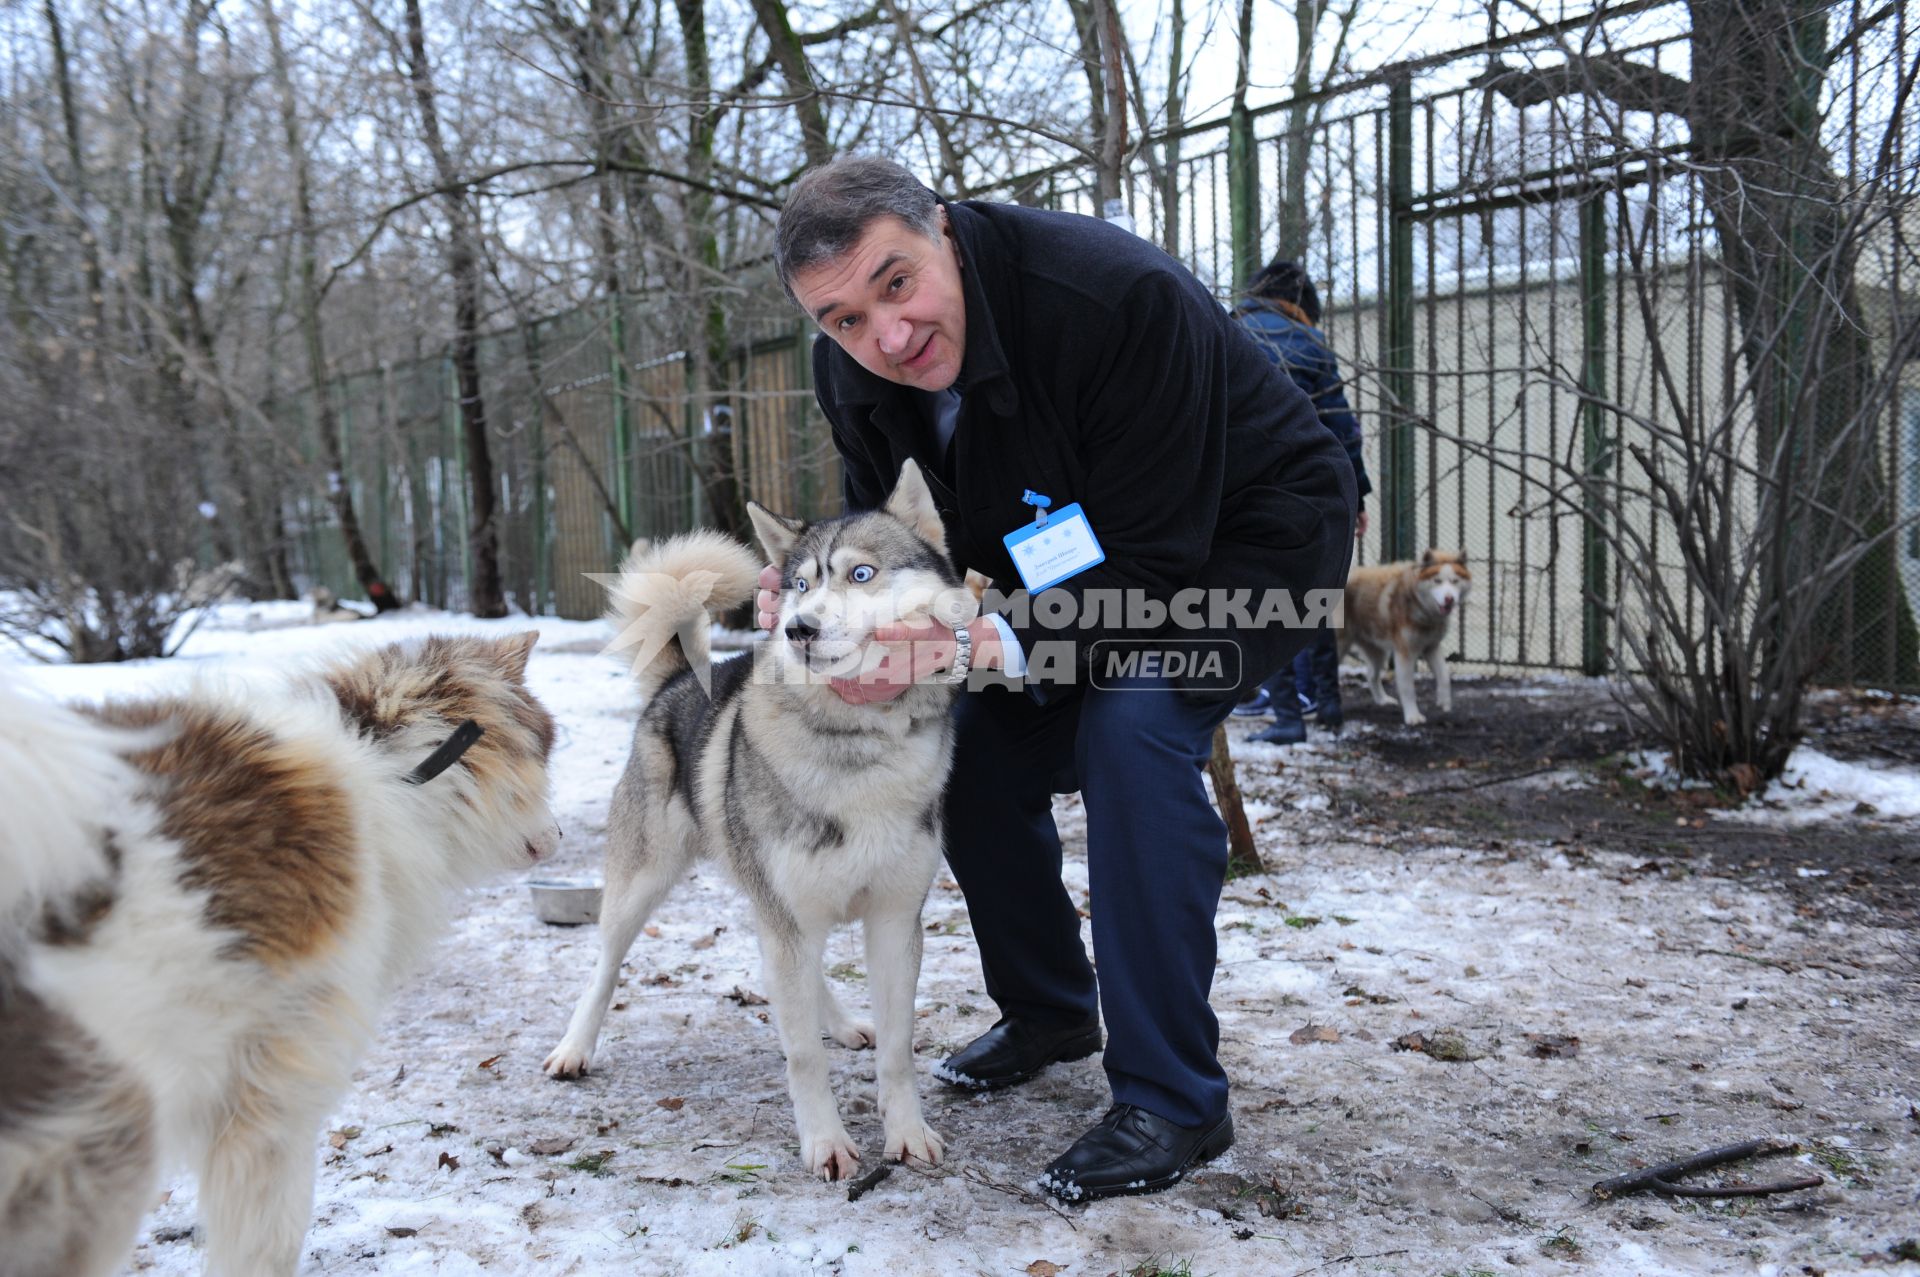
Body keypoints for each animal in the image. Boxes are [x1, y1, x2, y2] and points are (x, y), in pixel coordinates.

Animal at [552, 455, 975, 1175]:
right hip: (645, 885)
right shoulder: (790, 916)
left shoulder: (894, 920)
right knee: (605, 965)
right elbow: (801, 1054)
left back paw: (842, 1021)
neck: (858, 746)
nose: (798, 626)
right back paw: (574, 1047)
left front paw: (907, 1133)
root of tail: (680, 676)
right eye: (800, 583)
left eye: (861, 574)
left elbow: (898, 1048)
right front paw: (826, 1143)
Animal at [1344, 549, 1474, 725]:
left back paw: (1382, 700)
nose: (1449, 599)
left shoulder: (1431, 647)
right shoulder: (1404, 653)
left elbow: (1444, 676)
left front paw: (1444, 702)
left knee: (1371, 674)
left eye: (1455, 581)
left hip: (1377, 652)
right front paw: (1413, 716)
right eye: (1437, 581)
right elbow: (1408, 688)